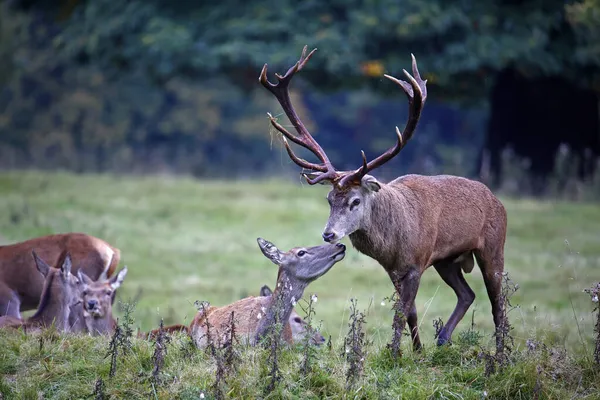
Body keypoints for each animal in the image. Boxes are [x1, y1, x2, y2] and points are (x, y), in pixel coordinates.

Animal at [260, 47, 508, 354]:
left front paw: (395, 353)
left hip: (493, 246)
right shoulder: (394, 269)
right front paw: (416, 351)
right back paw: (442, 338)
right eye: (329, 198)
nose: (329, 234)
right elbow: (410, 310)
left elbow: (401, 311)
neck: (394, 243)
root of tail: (497, 200)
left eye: (355, 201)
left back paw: (500, 354)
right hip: (447, 260)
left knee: (498, 304)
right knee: (467, 294)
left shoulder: (416, 262)